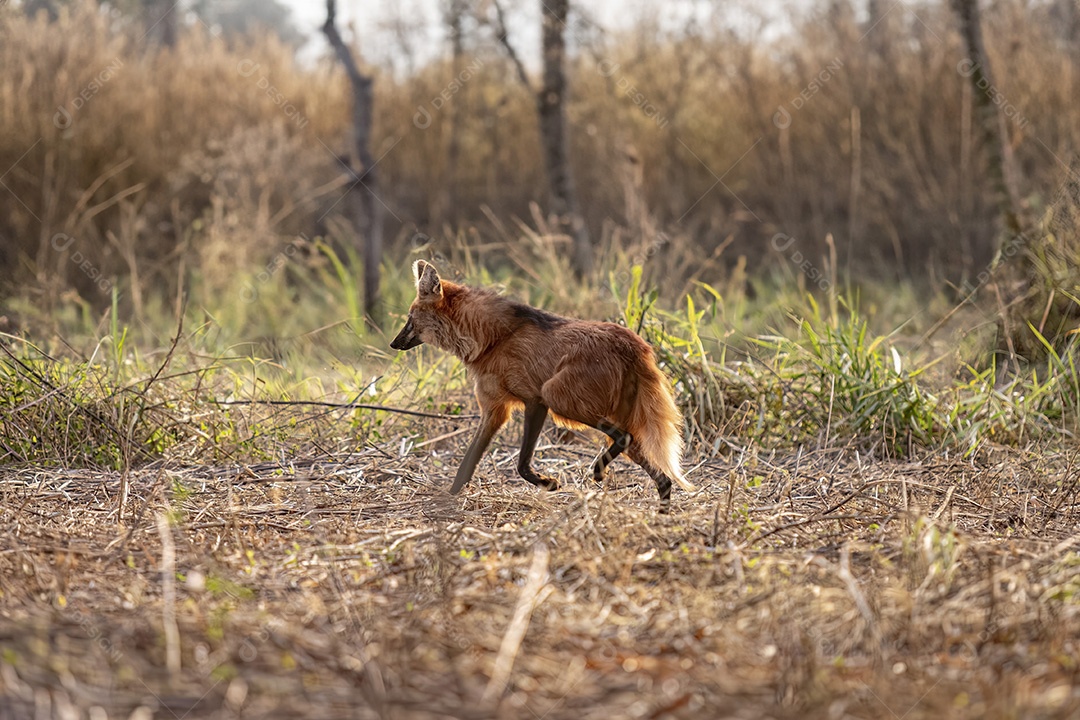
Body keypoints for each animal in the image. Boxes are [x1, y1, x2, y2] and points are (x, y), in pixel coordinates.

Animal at [390, 260, 695, 508]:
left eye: (409, 319)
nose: (393, 343)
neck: (491, 340)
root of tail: (635, 345)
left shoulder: (532, 401)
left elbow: (517, 464)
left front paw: (547, 483)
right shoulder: (504, 409)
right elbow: (472, 464)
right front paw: (449, 500)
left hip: (559, 396)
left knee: (623, 437)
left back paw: (598, 471)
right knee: (663, 479)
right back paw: (662, 517)